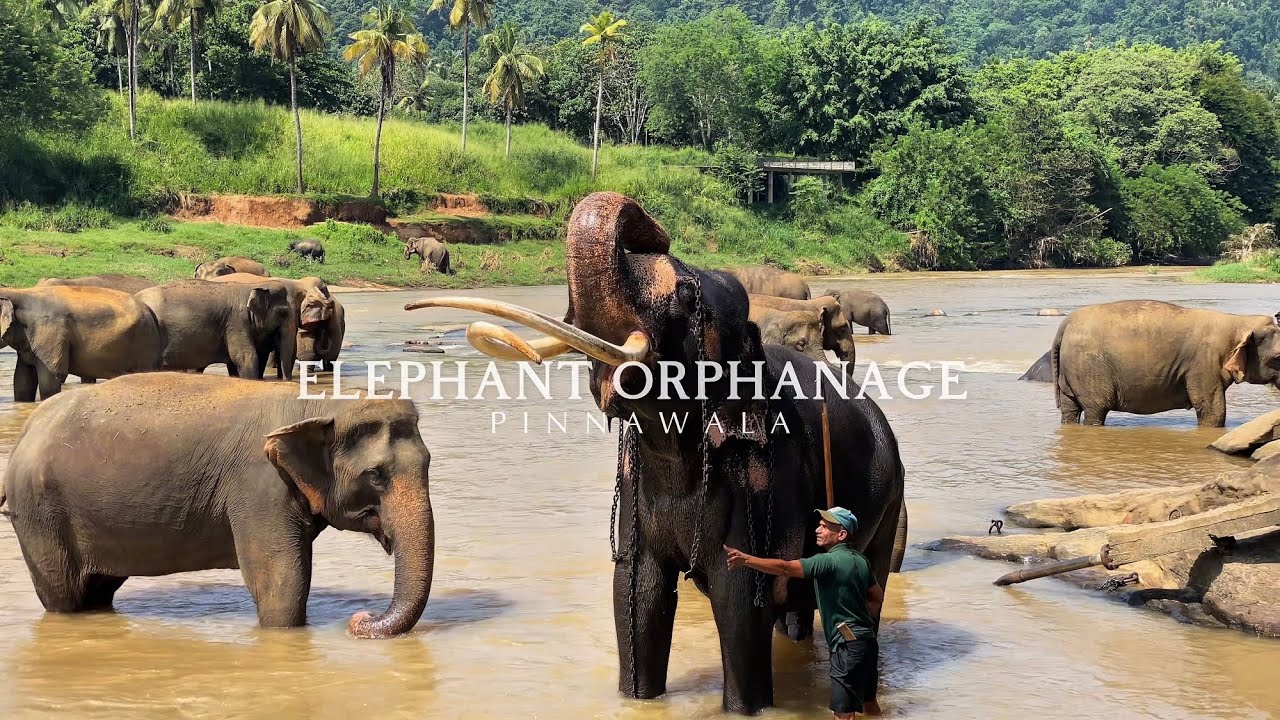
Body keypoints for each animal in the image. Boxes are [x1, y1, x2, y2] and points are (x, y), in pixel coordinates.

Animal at [0, 286, 163, 400]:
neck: (17, 292)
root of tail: (150, 311)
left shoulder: (50, 332)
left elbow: (50, 379)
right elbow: (22, 381)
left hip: (144, 343)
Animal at [2, 371, 435, 639]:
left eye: (429, 463)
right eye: (376, 475)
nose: (360, 618)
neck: (317, 405)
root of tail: (28, 429)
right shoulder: (258, 487)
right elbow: (281, 579)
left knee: (97, 590)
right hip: (41, 514)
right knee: (63, 593)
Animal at [135, 279, 297, 381]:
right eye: (283, 313)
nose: (286, 381)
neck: (251, 286)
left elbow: (234, 363)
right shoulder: (236, 322)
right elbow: (245, 357)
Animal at [404, 191, 907, 716]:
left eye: (686, 296)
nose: (655, 230)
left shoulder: (763, 475)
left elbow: (738, 601)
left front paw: (745, 708)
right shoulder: (636, 487)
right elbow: (635, 592)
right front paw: (637, 700)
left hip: (889, 496)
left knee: (865, 587)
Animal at [1053, 300, 1280, 426]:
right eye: (1277, 358)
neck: (1240, 321)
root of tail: (1064, 325)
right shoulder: (1203, 363)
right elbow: (1211, 410)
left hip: (1071, 371)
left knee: (1069, 408)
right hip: (1088, 367)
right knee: (1096, 410)